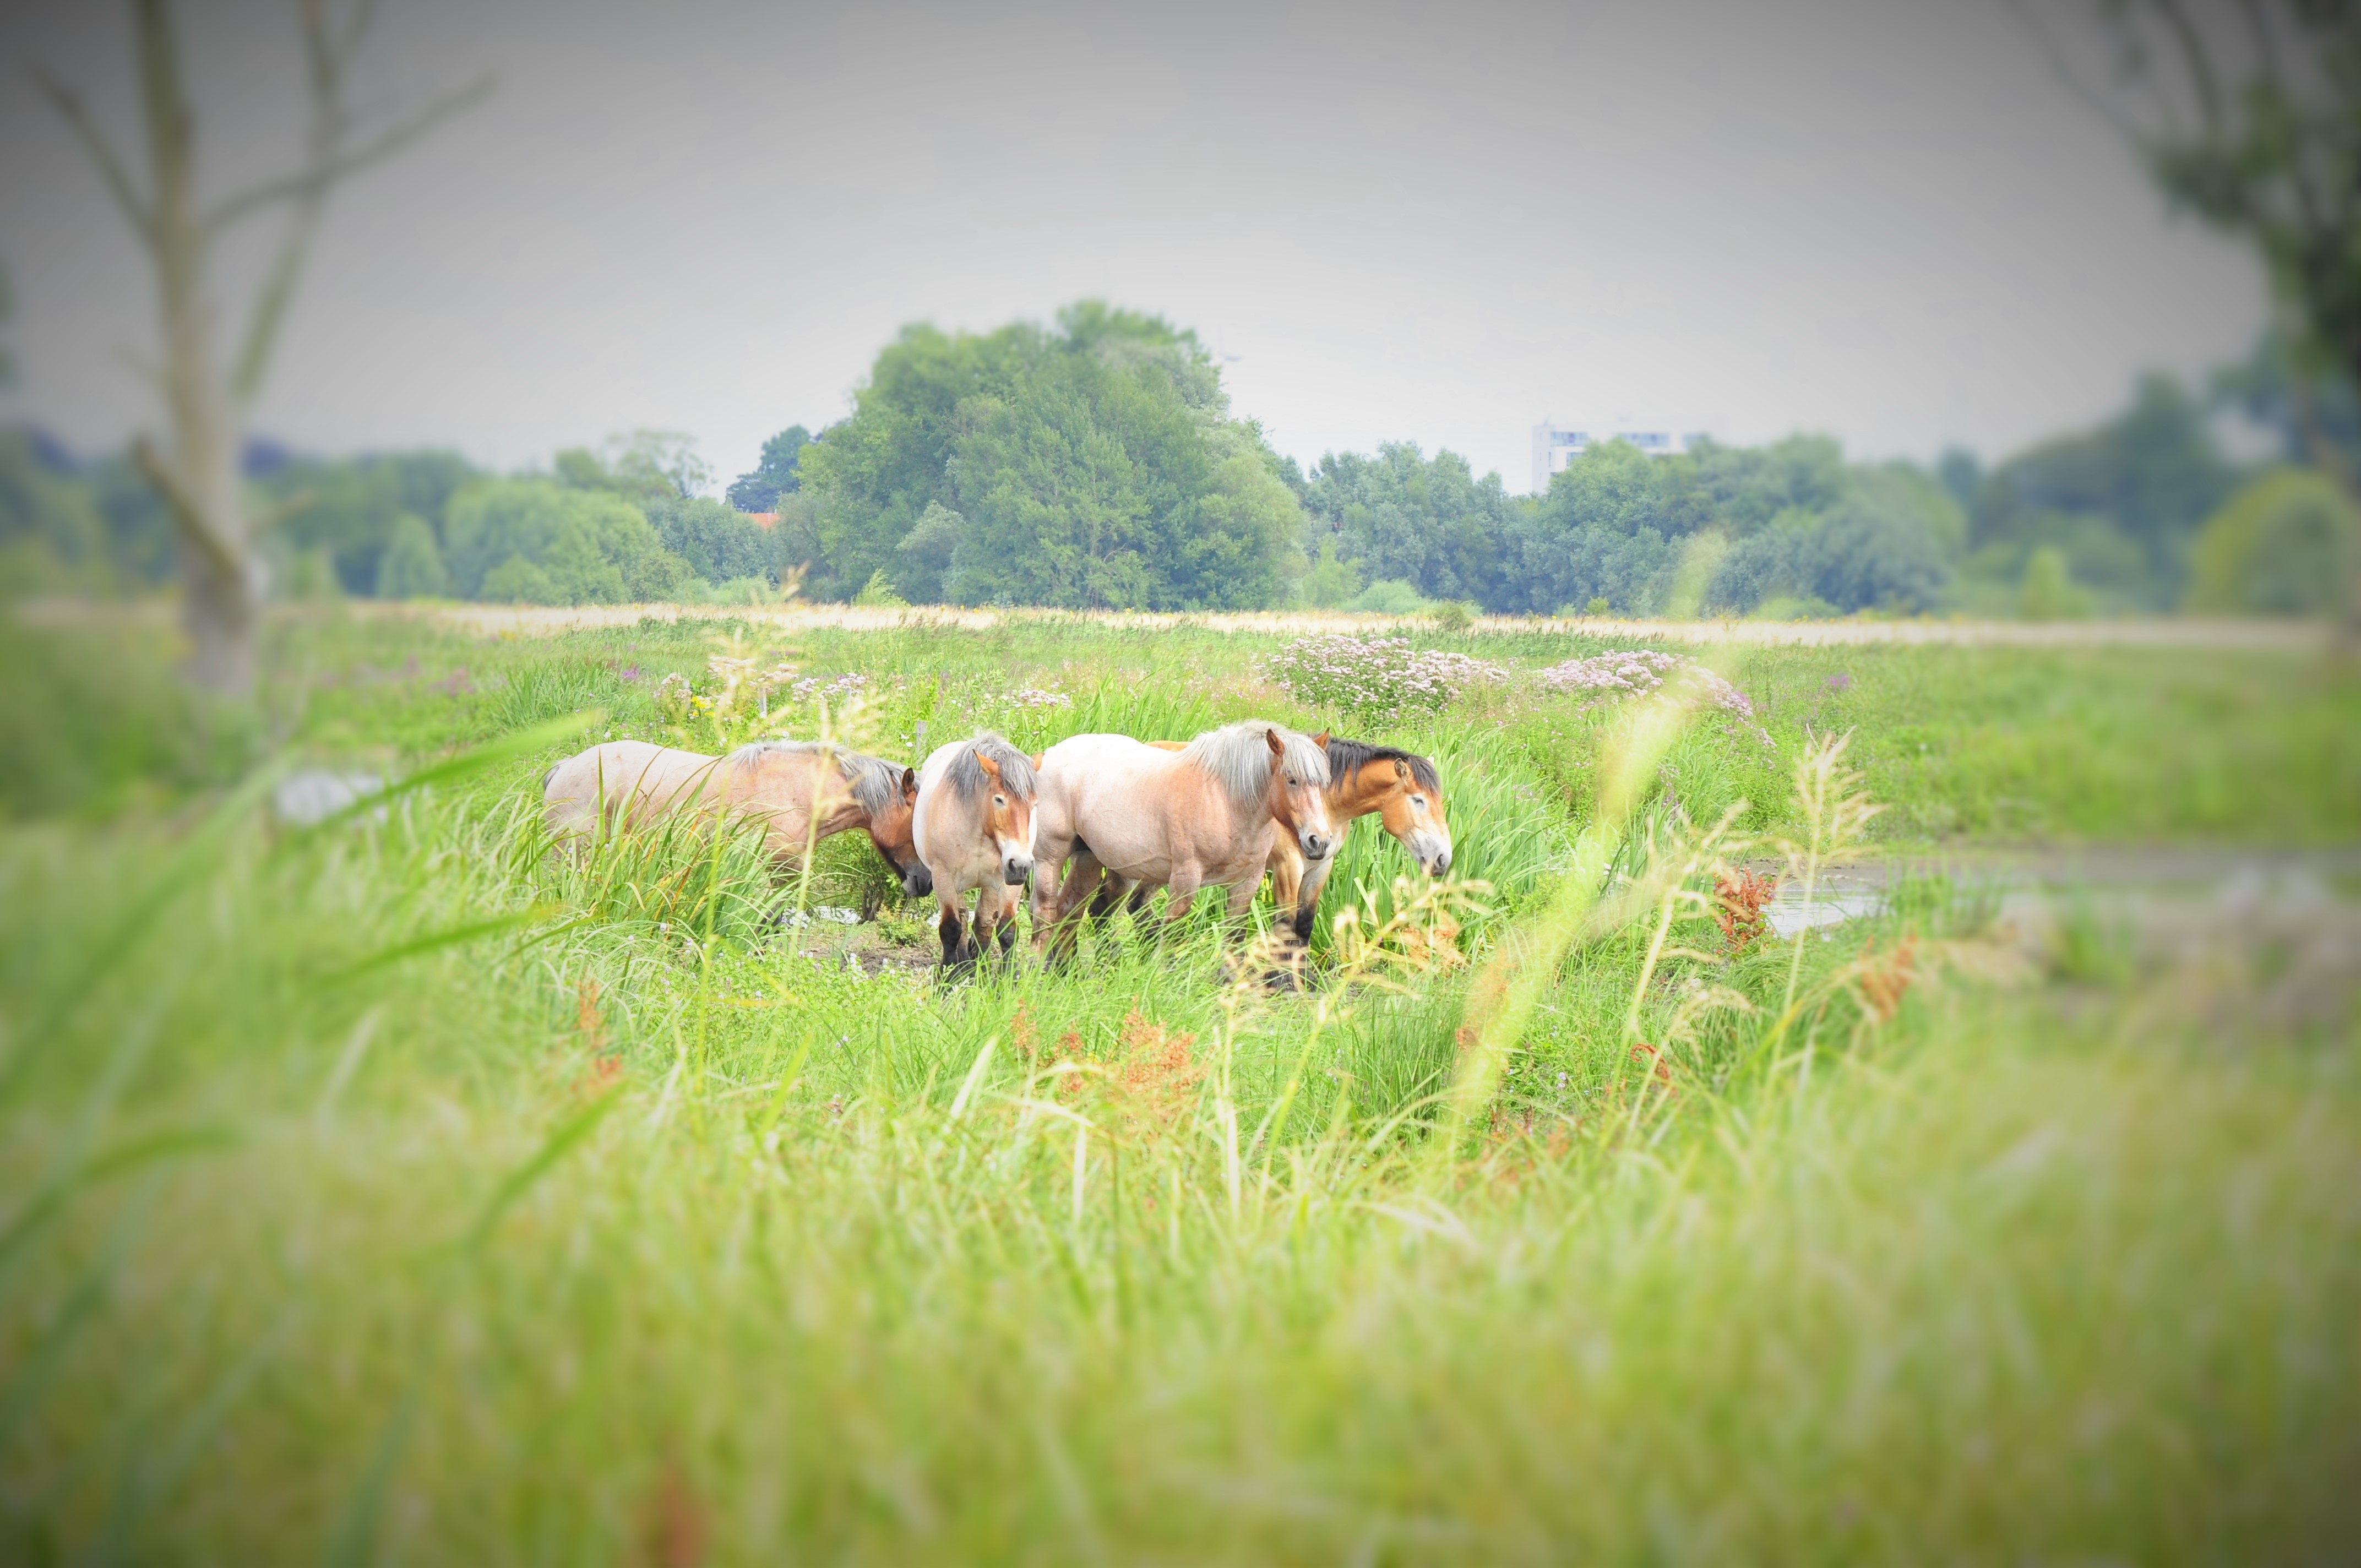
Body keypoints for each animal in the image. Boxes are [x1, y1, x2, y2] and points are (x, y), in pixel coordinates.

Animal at [911, 732, 1040, 971]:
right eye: (999, 799)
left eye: (1034, 805)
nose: (1020, 864)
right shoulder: (944, 879)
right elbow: (951, 929)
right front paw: (949, 975)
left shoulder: (1007, 883)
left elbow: (1005, 930)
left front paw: (1008, 977)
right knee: (961, 922)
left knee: (982, 923)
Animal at [1029, 721, 1333, 957]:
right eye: (1292, 780)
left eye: (1324, 783)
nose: (1319, 841)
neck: (1226, 802)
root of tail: (1049, 755)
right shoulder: (1186, 878)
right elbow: (1173, 932)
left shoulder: (1247, 883)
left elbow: (1233, 939)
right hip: (1051, 857)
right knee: (1045, 912)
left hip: (1088, 858)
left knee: (1069, 912)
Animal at [1091, 735, 1453, 942]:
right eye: (1418, 801)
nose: (1443, 860)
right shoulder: (1286, 867)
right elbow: (1285, 925)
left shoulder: (1320, 867)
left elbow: (1304, 926)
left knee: (1131, 907)